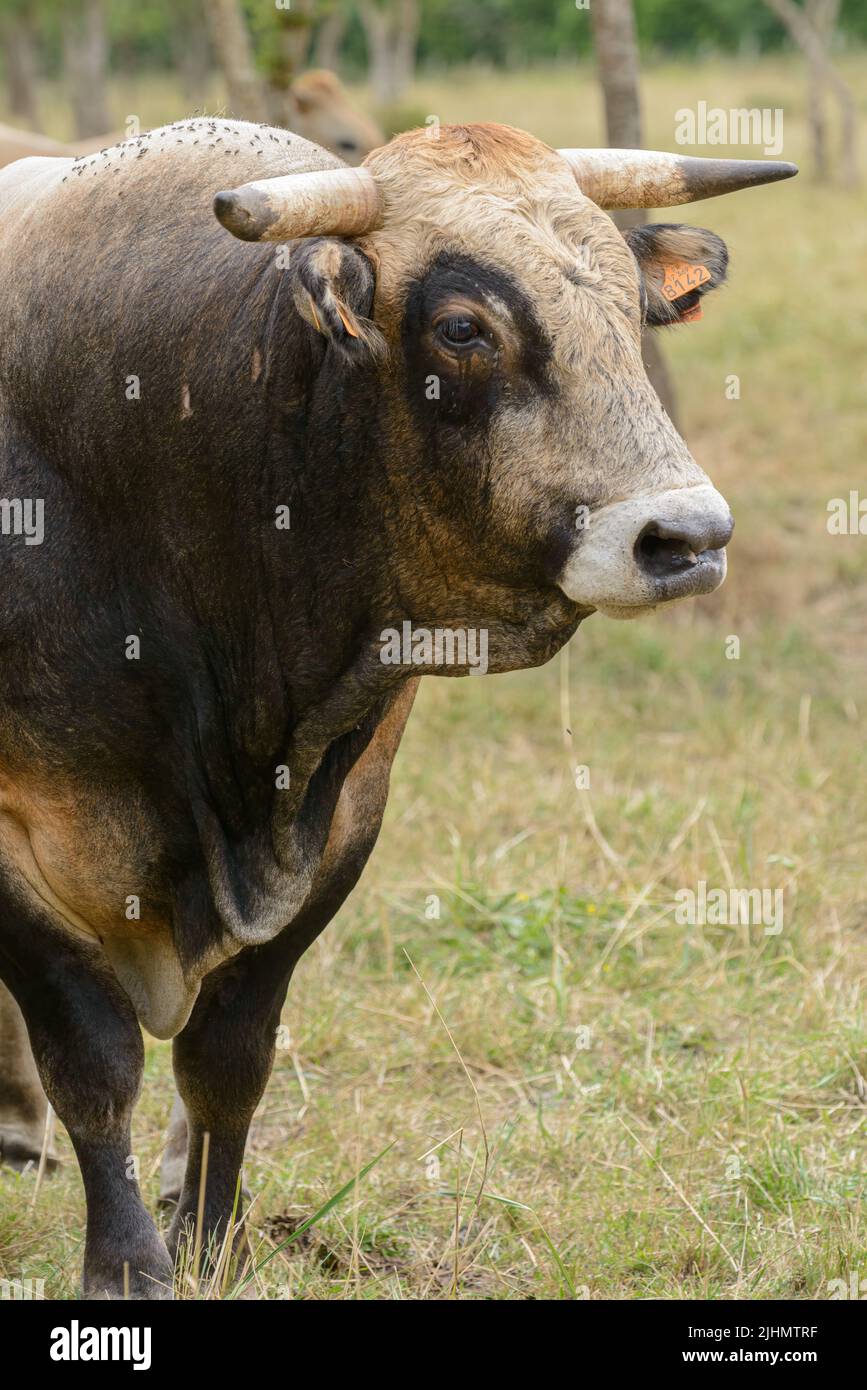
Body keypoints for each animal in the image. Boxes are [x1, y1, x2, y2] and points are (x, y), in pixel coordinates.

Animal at [0, 118, 795, 1298]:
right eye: (464, 328)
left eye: (627, 304)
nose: (685, 536)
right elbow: (94, 1065)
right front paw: (130, 1263)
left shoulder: (343, 818)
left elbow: (228, 1060)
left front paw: (214, 1236)